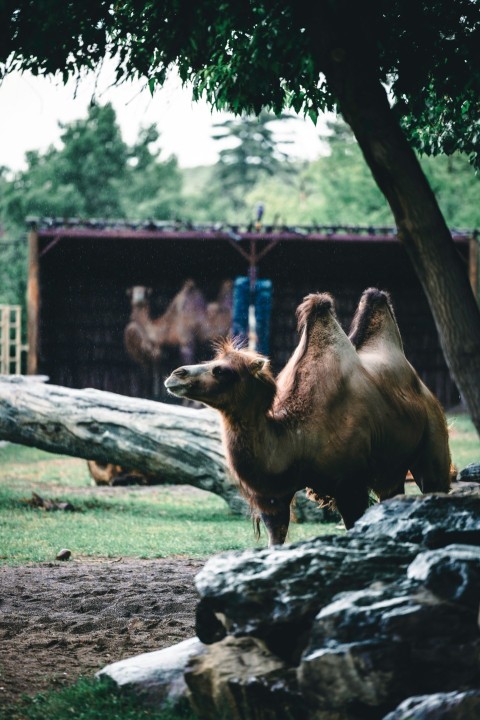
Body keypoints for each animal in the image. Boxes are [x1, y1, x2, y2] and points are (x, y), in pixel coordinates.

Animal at [164, 290, 450, 544]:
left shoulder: (351, 484)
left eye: (222, 371)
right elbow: (275, 538)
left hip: (433, 442)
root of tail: (425, 391)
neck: (297, 437)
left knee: (434, 485)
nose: (176, 374)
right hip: (391, 465)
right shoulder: (274, 495)